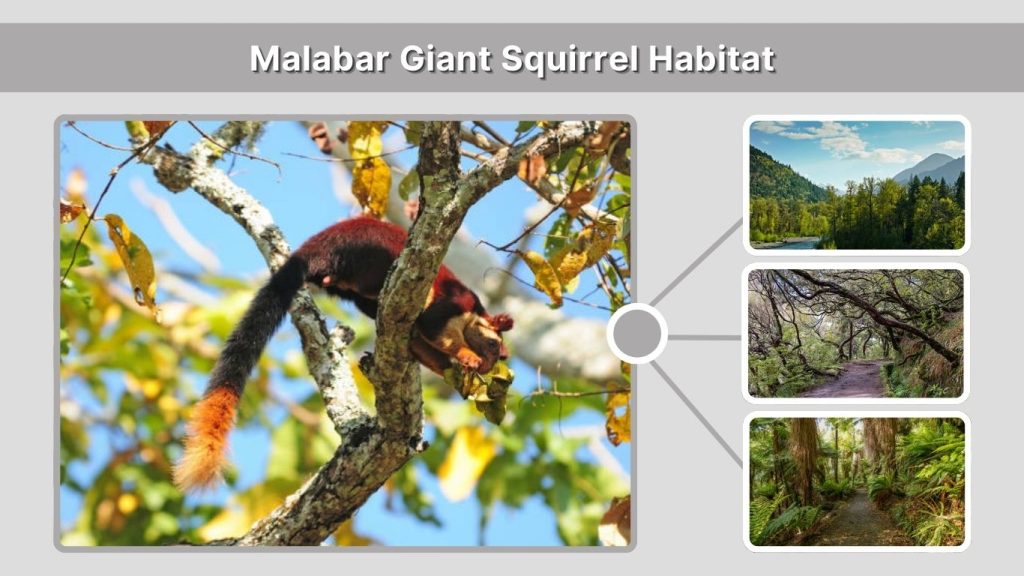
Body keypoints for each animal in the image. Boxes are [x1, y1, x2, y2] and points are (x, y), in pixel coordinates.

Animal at [173, 216, 513, 492]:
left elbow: (420, 345)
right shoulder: (453, 304)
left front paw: (456, 377)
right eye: (493, 347)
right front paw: (467, 357)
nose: (488, 366)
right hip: (372, 253)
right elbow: (436, 327)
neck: (474, 314)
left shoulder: (422, 333)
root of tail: (315, 248)